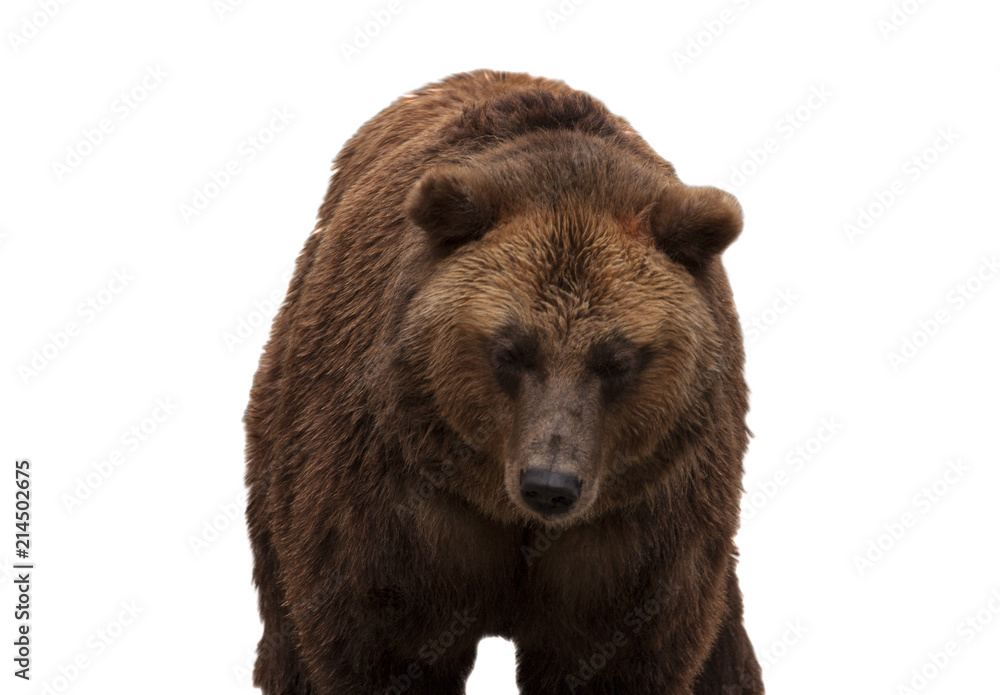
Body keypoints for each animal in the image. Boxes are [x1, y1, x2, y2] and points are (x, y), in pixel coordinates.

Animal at [244, 69, 764, 695]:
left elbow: (615, 653)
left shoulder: (636, 530)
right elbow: (380, 643)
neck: (507, 510)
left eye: (617, 359)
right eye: (511, 350)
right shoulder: (397, 506)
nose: (550, 484)